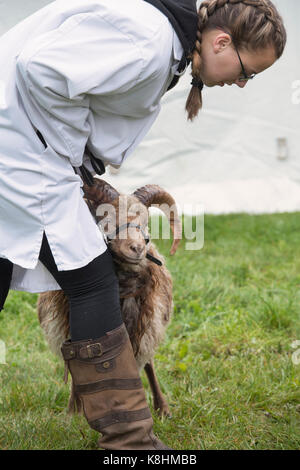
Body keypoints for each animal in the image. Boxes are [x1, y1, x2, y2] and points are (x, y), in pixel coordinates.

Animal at [38, 178, 182, 416]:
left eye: (145, 222)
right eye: (107, 220)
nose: (138, 248)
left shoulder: (143, 324)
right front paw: (74, 411)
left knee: (148, 362)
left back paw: (161, 408)